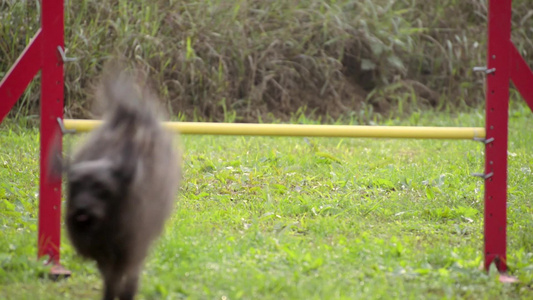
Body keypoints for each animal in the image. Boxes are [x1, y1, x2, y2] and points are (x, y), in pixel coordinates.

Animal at [62, 68, 179, 300]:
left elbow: (127, 275)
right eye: (75, 185)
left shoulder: (133, 248)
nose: (81, 209)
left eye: (102, 189)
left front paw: (126, 293)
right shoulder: (105, 255)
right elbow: (110, 279)